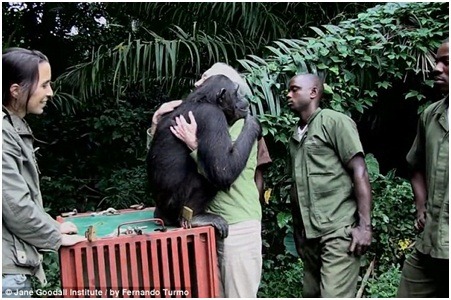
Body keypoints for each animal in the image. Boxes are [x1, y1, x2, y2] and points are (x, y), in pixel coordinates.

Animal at [147, 74, 262, 237]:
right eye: (236, 92)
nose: (243, 98)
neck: (204, 100)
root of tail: (162, 215)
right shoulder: (212, 117)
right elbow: (222, 168)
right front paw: (253, 123)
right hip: (176, 205)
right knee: (206, 176)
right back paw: (197, 217)